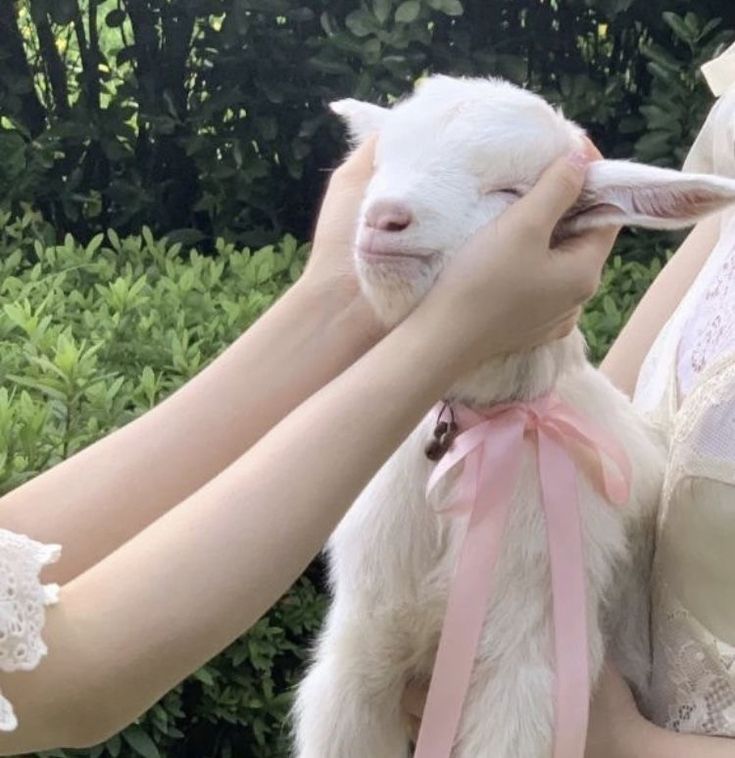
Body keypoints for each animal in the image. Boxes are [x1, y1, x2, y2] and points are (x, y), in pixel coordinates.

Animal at [290, 75, 735, 758]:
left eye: (511, 192)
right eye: (384, 160)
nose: (384, 217)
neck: (477, 435)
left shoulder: (527, 665)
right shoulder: (360, 649)